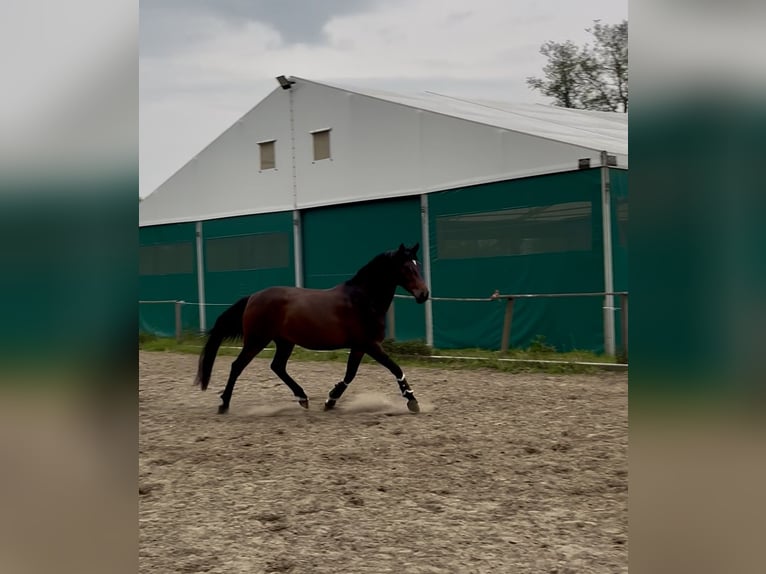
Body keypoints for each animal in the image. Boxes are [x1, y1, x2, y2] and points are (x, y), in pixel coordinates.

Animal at [194, 243, 430, 414]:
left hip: (284, 342)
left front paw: (330, 400)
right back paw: (224, 405)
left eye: (418, 265)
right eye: (407, 267)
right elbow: (395, 368)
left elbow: (350, 374)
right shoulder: (370, 345)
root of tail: (253, 297)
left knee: (277, 366)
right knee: (237, 366)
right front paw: (412, 401)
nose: (424, 294)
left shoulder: (359, 347)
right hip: (257, 340)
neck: (362, 299)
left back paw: (303, 398)